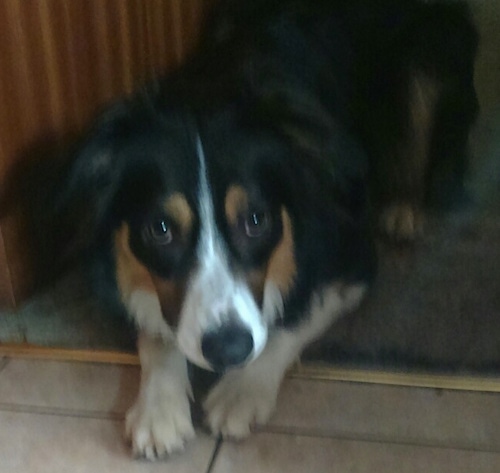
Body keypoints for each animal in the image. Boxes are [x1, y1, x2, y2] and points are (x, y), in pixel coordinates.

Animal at [54, 0, 476, 460]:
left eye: (256, 220)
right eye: (160, 229)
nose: (227, 349)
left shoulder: (350, 252)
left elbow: (296, 314)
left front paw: (241, 390)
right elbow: (158, 327)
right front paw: (158, 409)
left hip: (431, 53)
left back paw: (403, 208)